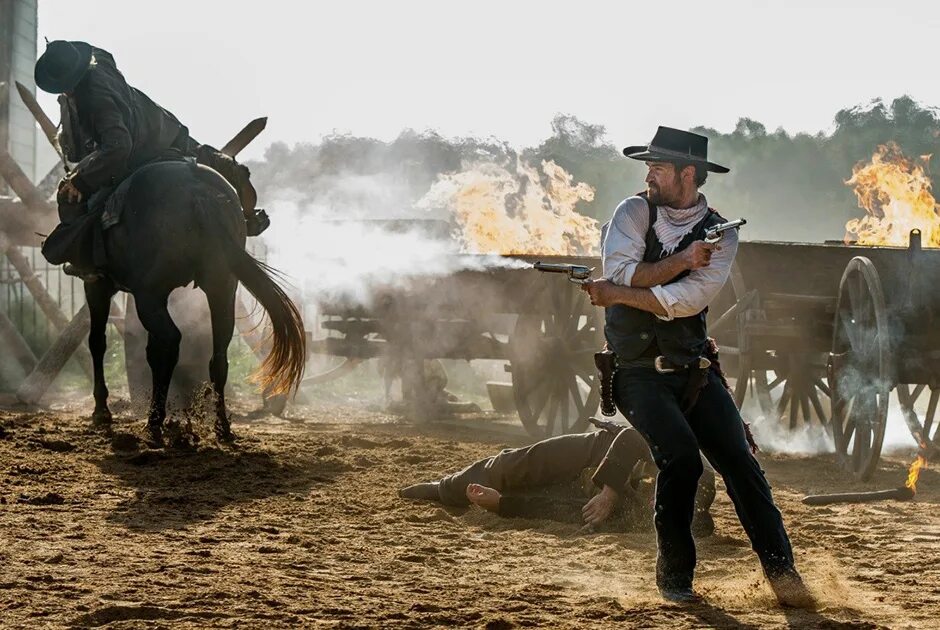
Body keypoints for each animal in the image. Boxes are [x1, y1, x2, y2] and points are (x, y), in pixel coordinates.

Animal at [85, 160, 304, 442]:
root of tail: (199, 193)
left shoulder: (97, 285)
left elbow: (97, 343)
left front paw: (101, 410)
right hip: (221, 288)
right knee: (217, 357)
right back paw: (221, 425)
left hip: (149, 296)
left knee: (169, 343)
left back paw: (155, 422)